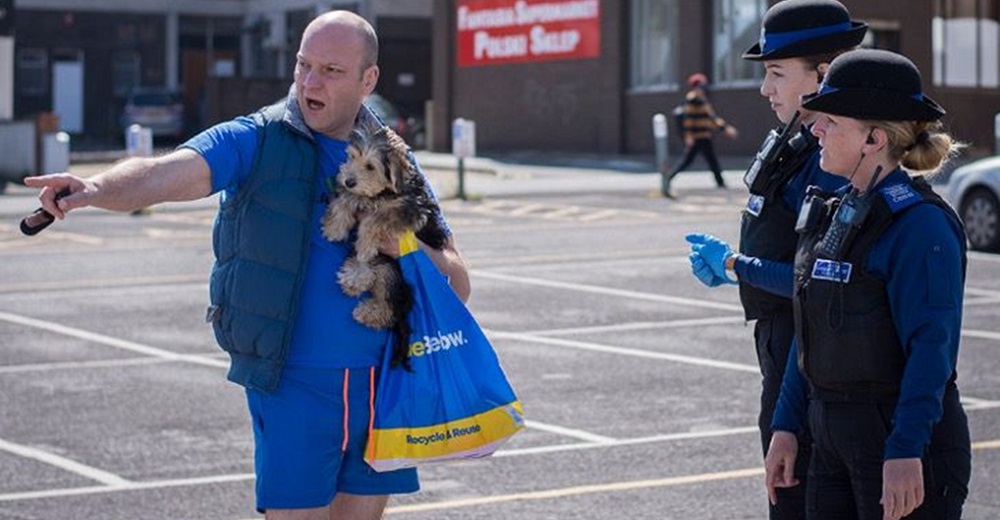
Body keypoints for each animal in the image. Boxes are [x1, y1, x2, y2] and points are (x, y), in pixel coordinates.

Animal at [322, 128, 448, 368]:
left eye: (371, 166)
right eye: (352, 157)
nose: (348, 180)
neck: (384, 192)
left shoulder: (409, 211)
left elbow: (377, 219)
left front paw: (364, 241)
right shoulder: (364, 196)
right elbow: (349, 199)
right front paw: (335, 226)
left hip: (391, 275)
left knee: (390, 308)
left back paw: (368, 309)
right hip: (383, 265)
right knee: (366, 269)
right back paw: (354, 278)